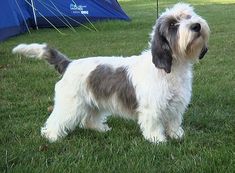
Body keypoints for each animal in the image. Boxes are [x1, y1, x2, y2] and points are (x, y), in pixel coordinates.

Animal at [12, 3, 210, 143]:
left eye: (189, 16)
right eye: (173, 25)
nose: (196, 26)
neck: (171, 69)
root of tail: (69, 64)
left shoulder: (176, 105)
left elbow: (174, 123)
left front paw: (177, 136)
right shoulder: (152, 108)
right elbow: (154, 125)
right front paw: (158, 140)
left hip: (94, 102)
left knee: (88, 120)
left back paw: (100, 129)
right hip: (70, 104)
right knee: (56, 121)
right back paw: (52, 137)